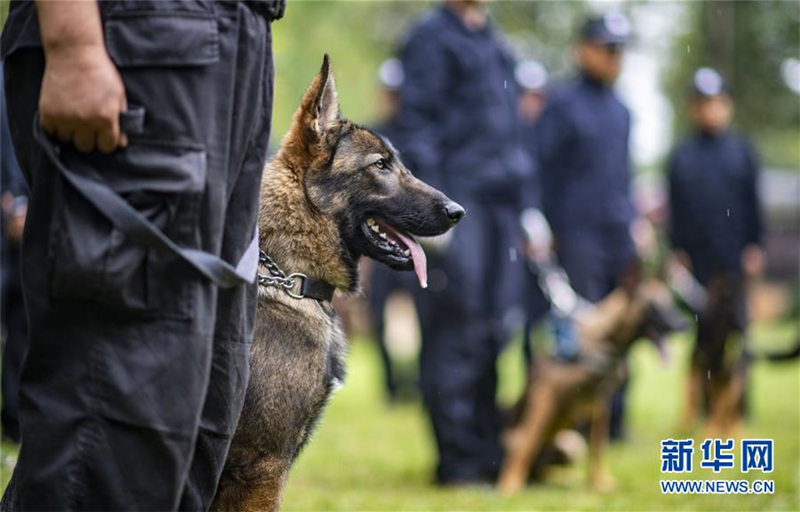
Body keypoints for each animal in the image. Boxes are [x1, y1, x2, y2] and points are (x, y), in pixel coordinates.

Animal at [496, 270, 684, 494]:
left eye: (671, 303)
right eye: (654, 307)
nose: (684, 324)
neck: (605, 340)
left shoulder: (601, 401)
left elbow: (598, 445)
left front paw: (599, 483)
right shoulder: (544, 394)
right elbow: (526, 442)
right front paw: (509, 485)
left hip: (572, 444)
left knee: (545, 471)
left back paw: (567, 478)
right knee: (527, 452)